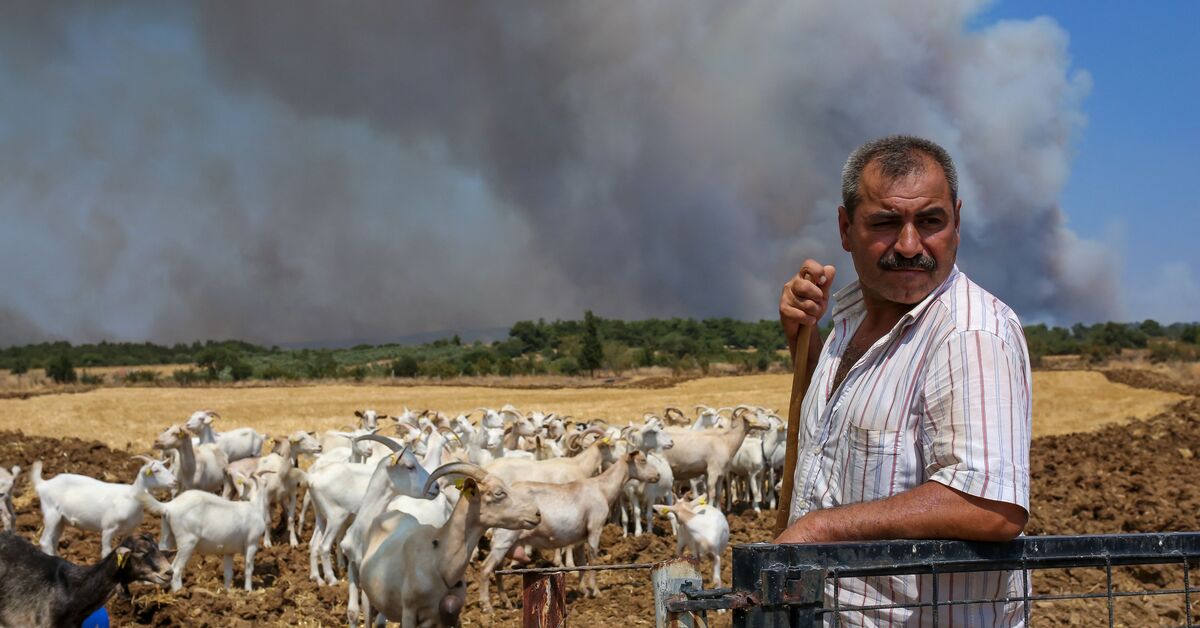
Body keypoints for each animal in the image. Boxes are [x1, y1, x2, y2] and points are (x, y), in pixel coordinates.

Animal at [30, 458, 176, 557]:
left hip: (61, 520)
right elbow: (106, 552)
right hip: (51, 514)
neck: (131, 496)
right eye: (156, 470)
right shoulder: (108, 529)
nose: (175, 481)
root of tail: (43, 484)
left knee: (53, 541)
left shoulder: (130, 530)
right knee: (45, 541)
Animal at [357, 461, 542, 628]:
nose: (537, 514)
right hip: (367, 598)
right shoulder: (409, 611)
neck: (439, 559)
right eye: (499, 493)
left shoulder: (442, 616)